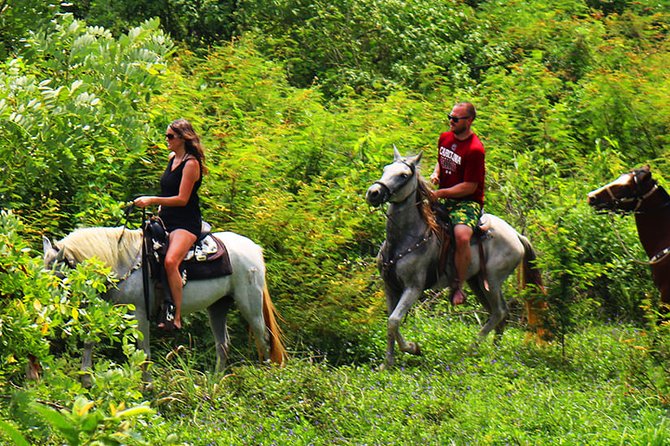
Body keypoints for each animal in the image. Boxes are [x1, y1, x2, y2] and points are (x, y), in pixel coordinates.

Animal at [42, 228, 286, 382]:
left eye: (57, 275)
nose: (47, 307)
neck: (122, 262)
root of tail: (254, 248)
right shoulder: (109, 309)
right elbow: (89, 341)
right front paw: (85, 379)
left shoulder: (140, 314)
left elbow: (144, 351)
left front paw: (147, 387)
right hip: (218, 306)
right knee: (223, 344)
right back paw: (216, 382)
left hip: (249, 303)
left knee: (263, 338)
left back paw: (265, 378)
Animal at [364, 150, 548, 370]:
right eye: (385, 169)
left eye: (403, 175)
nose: (373, 193)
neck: (404, 239)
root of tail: (517, 235)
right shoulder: (390, 286)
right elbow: (392, 322)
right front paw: (388, 363)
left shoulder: (413, 287)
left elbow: (394, 321)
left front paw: (412, 348)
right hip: (477, 282)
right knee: (498, 315)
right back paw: (494, 353)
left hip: (492, 281)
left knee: (500, 312)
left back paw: (471, 350)